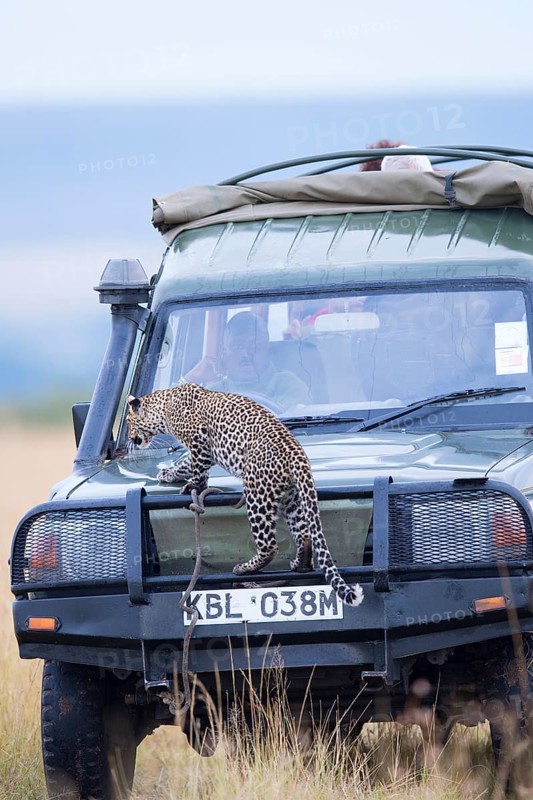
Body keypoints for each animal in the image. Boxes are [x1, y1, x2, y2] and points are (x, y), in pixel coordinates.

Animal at [126, 383, 364, 607]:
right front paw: (168, 473)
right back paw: (300, 565)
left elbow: (197, 468)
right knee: (304, 536)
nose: (130, 439)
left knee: (269, 546)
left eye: (128, 423)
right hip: (292, 500)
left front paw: (193, 484)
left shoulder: (199, 440)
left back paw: (243, 569)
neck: (164, 407)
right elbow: (187, 464)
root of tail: (297, 454)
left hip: (258, 496)